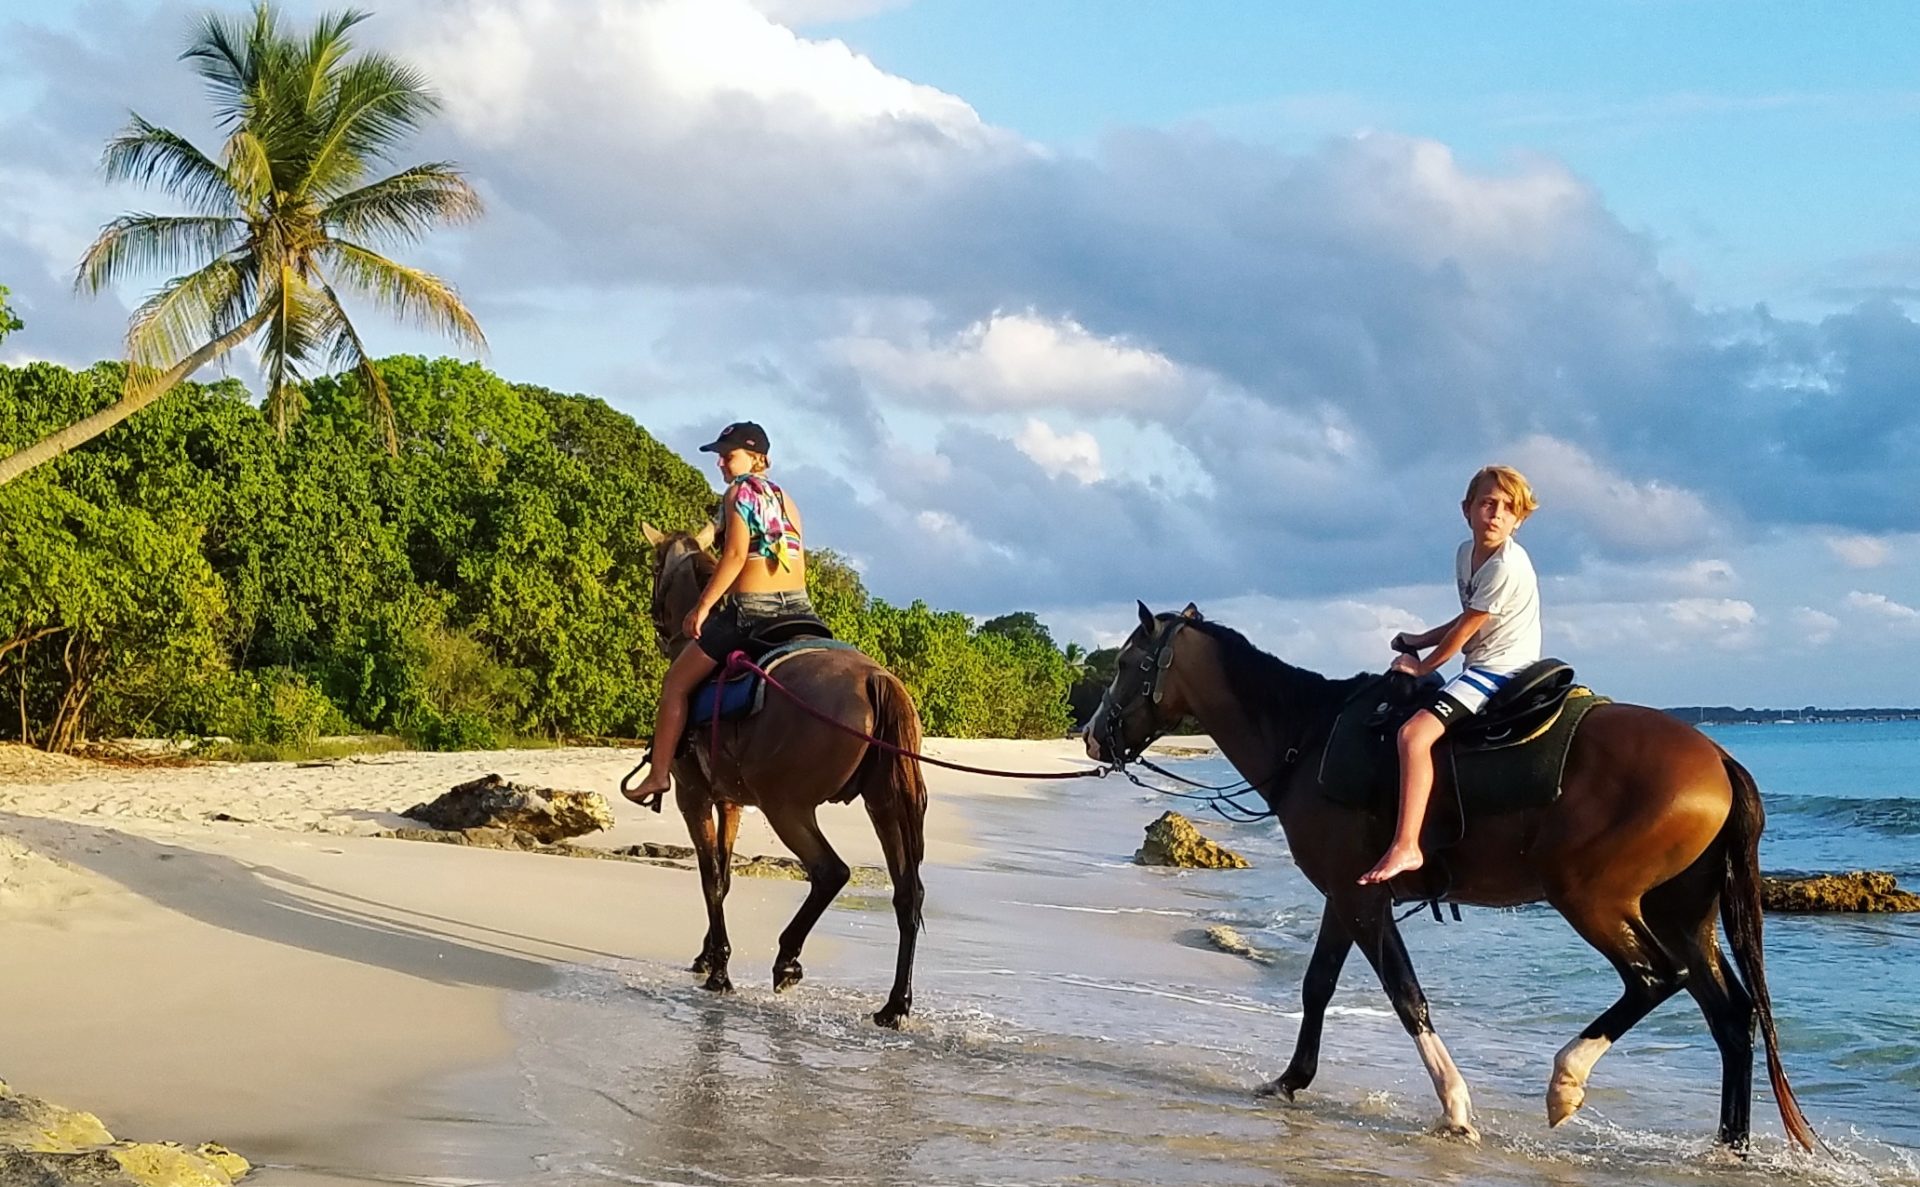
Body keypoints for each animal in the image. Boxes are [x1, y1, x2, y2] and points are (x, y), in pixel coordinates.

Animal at [637, 522, 929, 1021]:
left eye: (655, 567)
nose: (659, 624)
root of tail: (876, 679)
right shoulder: (730, 800)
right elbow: (725, 874)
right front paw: (708, 956)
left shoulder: (693, 795)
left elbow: (711, 878)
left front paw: (719, 970)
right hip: (884, 806)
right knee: (908, 893)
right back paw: (894, 1005)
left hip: (787, 807)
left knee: (831, 872)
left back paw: (788, 958)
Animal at [1082, 599, 1812, 1144]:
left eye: (1129, 663)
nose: (1092, 735)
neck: (1307, 737)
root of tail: (1718, 758)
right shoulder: (1345, 896)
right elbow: (1317, 985)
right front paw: (1290, 1080)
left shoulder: (1361, 899)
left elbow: (1406, 995)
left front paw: (1455, 1105)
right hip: (1682, 914)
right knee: (1730, 1016)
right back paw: (1730, 1145)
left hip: (1593, 899)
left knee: (1656, 978)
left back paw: (1566, 1082)